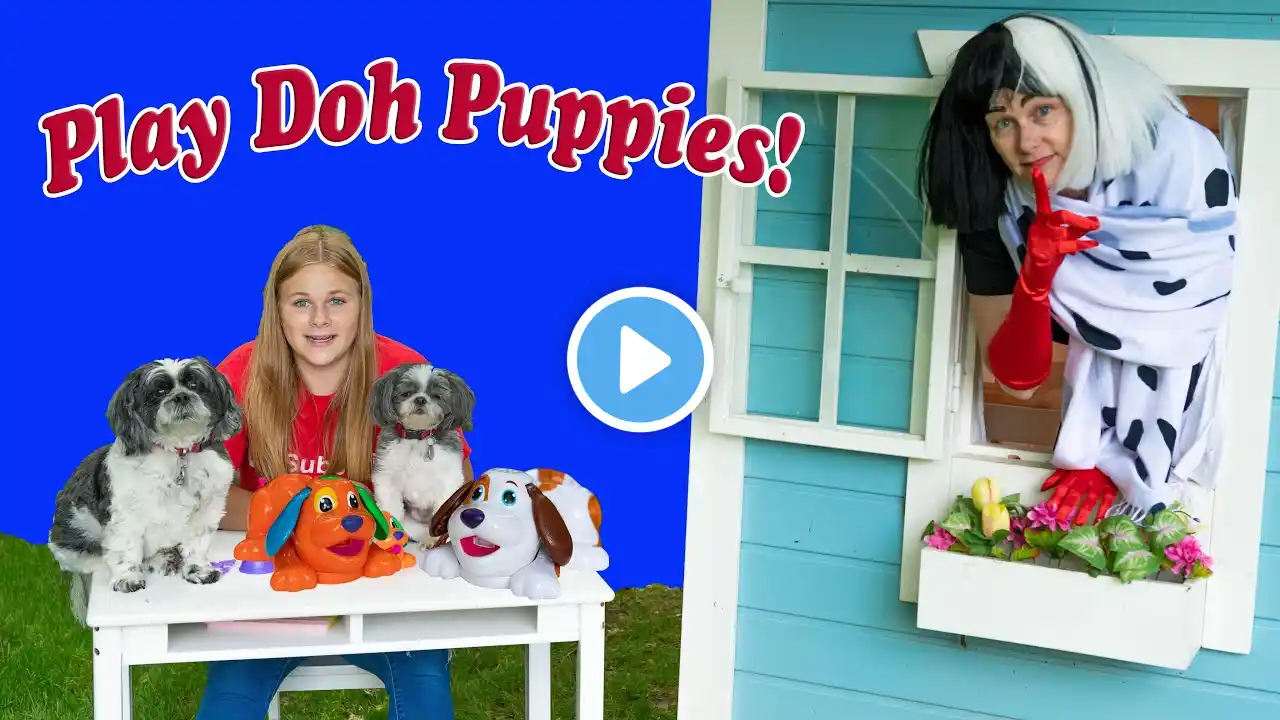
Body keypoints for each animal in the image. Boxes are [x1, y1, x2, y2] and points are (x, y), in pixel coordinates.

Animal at [48, 353, 243, 617]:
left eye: (194, 384)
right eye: (159, 391)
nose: (181, 396)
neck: (178, 453)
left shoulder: (206, 510)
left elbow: (197, 544)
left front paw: (198, 570)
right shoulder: (125, 517)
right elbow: (125, 548)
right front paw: (127, 578)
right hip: (76, 529)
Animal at [373, 361, 478, 540]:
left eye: (437, 396)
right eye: (406, 393)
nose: (420, 399)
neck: (417, 437)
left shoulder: (449, 480)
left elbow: (442, 508)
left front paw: (432, 540)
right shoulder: (387, 477)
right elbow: (391, 509)